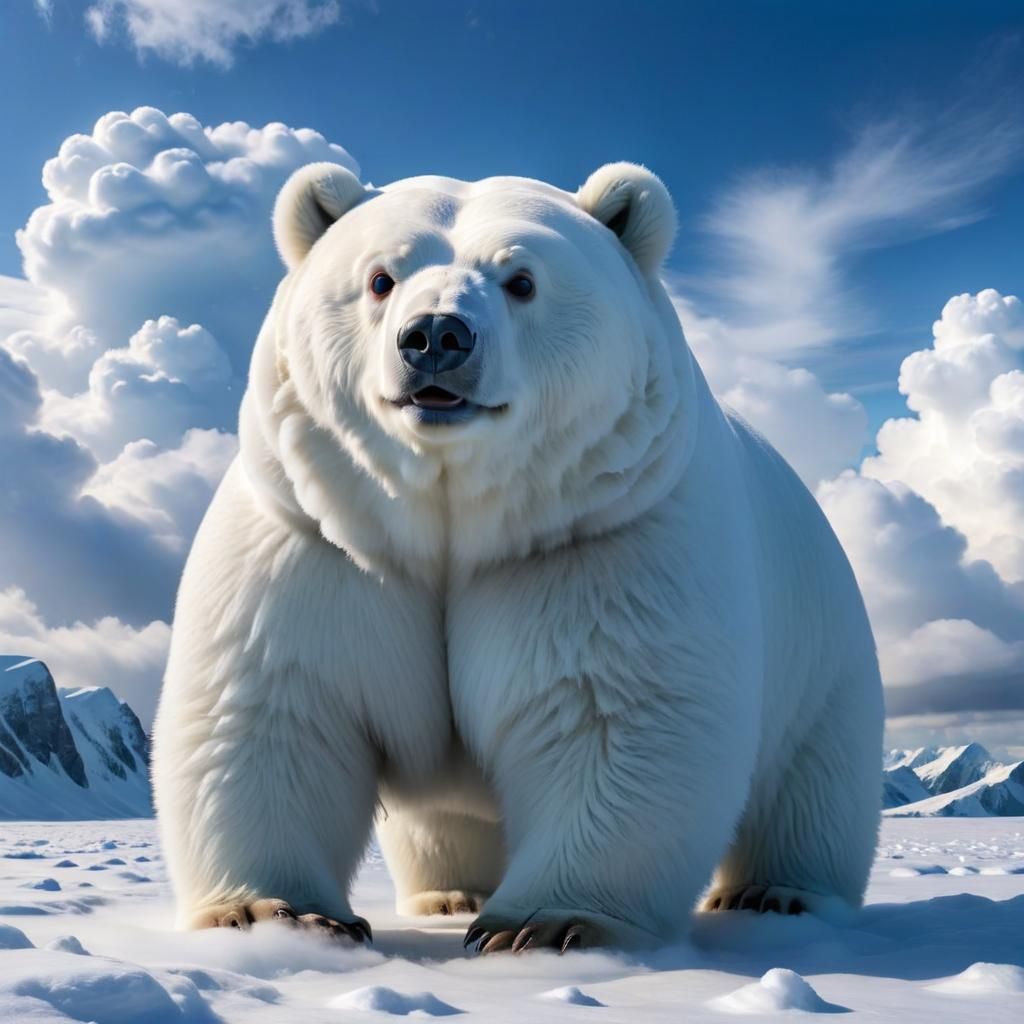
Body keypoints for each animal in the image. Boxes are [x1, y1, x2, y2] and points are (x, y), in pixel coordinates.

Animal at [152, 160, 884, 953]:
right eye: (380, 277)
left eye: (522, 280)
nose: (435, 336)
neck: (454, 524)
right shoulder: (319, 539)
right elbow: (276, 709)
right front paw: (273, 912)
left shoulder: (597, 538)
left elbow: (610, 713)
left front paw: (546, 923)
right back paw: (450, 893)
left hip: (824, 654)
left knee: (813, 784)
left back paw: (775, 892)